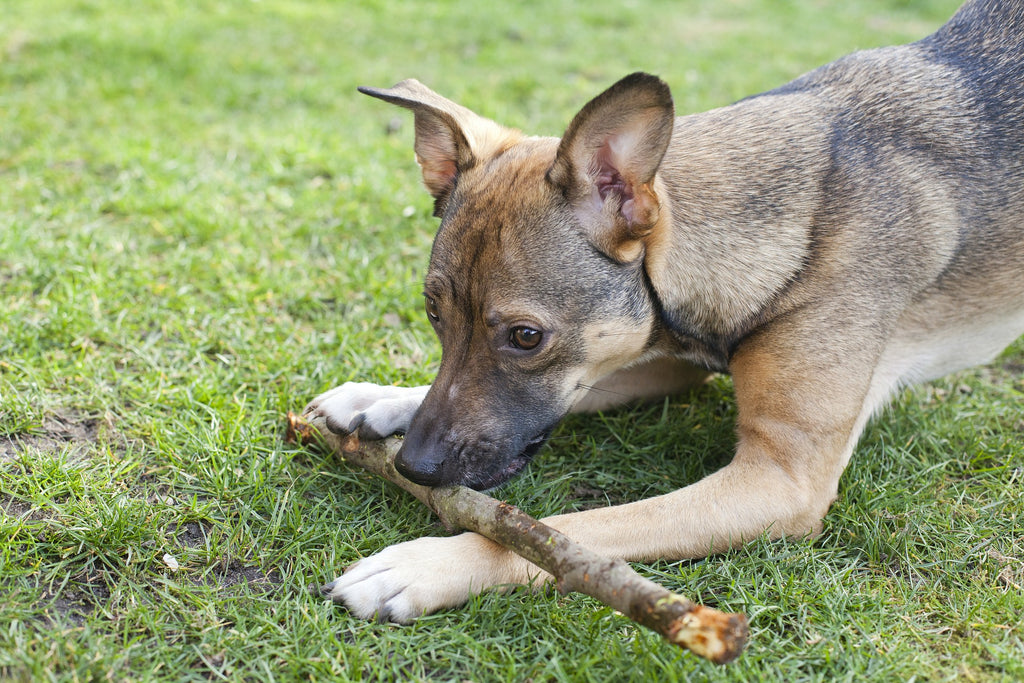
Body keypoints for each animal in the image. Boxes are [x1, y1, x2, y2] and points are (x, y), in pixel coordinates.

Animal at [303, 0, 1024, 626]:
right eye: (433, 312)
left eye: (526, 336)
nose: (413, 468)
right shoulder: (659, 360)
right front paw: (380, 396)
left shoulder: (779, 480)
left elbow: (570, 533)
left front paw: (426, 566)